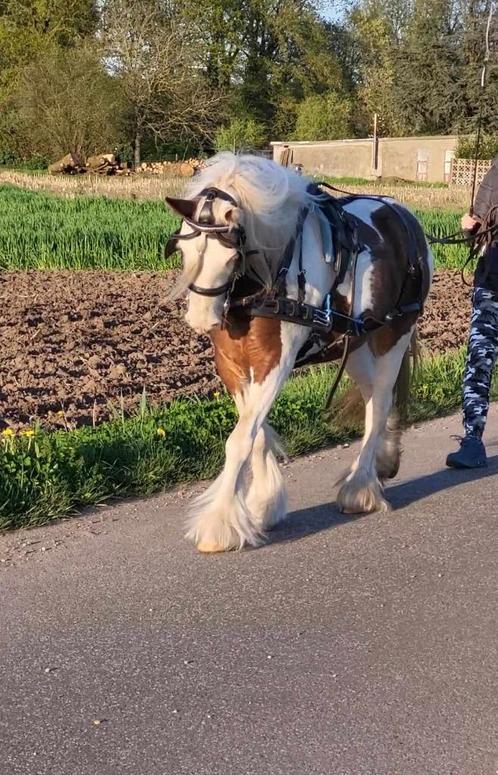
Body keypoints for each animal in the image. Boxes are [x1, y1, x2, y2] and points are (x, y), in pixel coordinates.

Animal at [164, 153, 432, 552]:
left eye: (230, 254)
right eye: (184, 250)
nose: (201, 318)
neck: (268, 275)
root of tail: (403, 215)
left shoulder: (276, 361)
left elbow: (240, 439)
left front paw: (220, 525)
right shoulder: (231, 365)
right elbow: (254, 433)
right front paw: (264, 505)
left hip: (394, 334)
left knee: (380, 403)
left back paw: (359, 489)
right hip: (355, 345)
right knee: (372, 397)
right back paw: (381, 463)